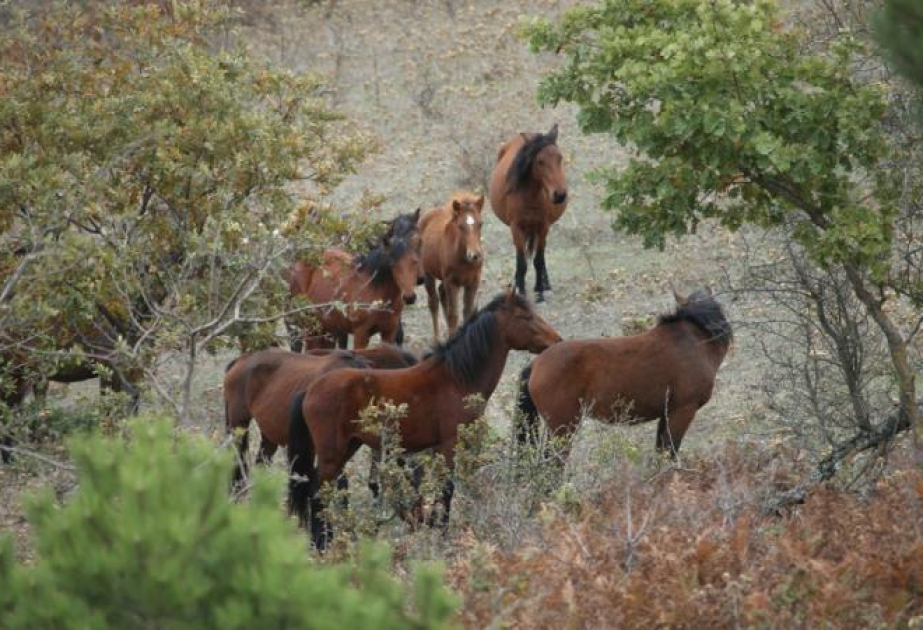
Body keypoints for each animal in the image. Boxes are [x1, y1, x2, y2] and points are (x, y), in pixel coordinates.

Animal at [287, 225, 423, 351]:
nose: (409, 297)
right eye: (391, 263)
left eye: (415, 262)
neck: (375, 289)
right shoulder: (361, 334)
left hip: (324, 329)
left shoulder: (389, 333)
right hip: (305, 326)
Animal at [287, 289, 562, 549]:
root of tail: (310, 389)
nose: (557, 341)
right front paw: (442, 534)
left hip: (348, 447)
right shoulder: (450, 445)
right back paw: (322, 544)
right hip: (333, 452)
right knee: (317, 492)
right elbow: (447, 489)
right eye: (526, 317)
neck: (455, 379)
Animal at [419, 192, 485, 339]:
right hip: (427, 273)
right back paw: (437, 339)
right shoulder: (452, 282)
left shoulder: (473, 282)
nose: (475, 255)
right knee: (433, 302)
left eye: (480, 224)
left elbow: (467, 312)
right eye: (460, 226)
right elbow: (453, 316)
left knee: (442, 293)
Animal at [488, 123, 568, 302]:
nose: (559, 195)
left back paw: (546, 284)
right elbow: (522, 262)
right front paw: (521, 290)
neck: (530, 196)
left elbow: (538, 260)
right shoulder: (516, 228)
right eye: (540, 161)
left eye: (559, 158)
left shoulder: (543, 226)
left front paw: (539, 292)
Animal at [517, 288, 732, 460]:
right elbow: (669, 453)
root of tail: (536, 363)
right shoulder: (682, 412)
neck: (694, 340)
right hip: (562, 428)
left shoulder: (666, 415)